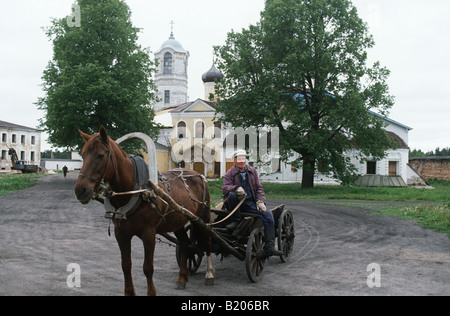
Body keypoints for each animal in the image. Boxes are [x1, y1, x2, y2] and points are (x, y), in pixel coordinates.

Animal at [74, 126, 214, 296]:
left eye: (100, 155)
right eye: (83, 155)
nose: (80, 190)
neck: (135, 191)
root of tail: (198, 175)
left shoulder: (148, 234)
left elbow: (148, 267)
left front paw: (151, 292)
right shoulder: (121, 234)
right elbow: (126, 265)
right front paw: (129, 292)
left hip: (203, 218)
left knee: (208, 243)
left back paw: (209, 275)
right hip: (178, 221)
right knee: (185, 243)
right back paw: (182, 278)